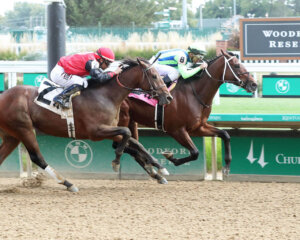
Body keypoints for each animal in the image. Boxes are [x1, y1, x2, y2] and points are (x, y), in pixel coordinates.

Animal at [0, 58, 172, 191]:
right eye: (154, 76)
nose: (168, 97)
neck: (105, 96)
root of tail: (3, 95)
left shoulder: (108, 130)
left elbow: (134, 142)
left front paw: (158, 166)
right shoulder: (96, 132)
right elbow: (127, 134)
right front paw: (116, 162)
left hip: (12, 135)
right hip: (24, 129)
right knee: (37, 157)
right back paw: (68, 183)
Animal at [116, 51, 256, 174]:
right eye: (237, 65)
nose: (254, 84)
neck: (194, 94)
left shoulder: (198, 127)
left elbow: (225, 134)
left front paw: (226, 166)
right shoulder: (176, 130)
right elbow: (195, 153)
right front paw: (170, 157)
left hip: (131, 121)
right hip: (122, 119)